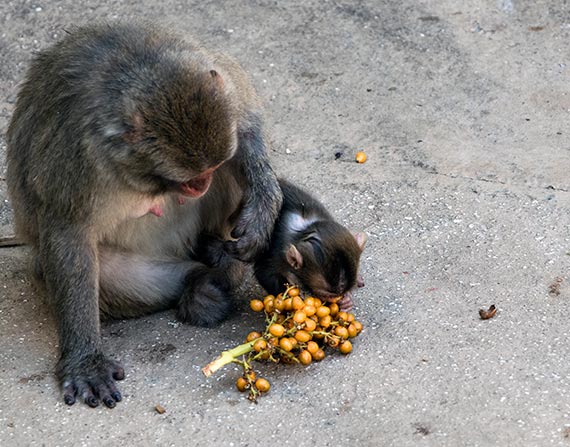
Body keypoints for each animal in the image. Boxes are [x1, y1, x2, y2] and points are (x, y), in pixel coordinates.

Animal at [4, 23, 280, 410]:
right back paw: (201, 282)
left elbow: (246, 129)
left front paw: (263, 209)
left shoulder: (223, 84)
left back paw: (219, 268)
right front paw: (84, 361)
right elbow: (68, 234)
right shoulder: (77, 159)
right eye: (188, 177)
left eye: (208, 170)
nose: (203, 183)